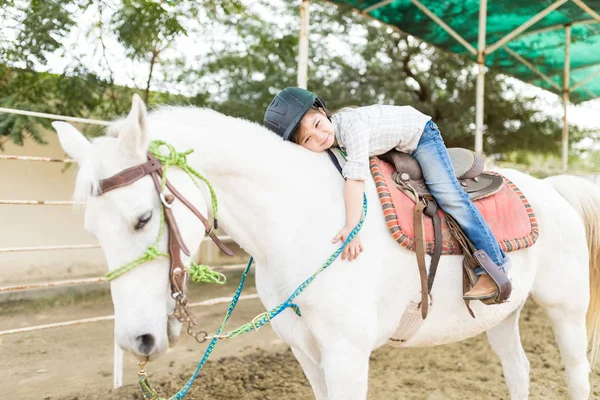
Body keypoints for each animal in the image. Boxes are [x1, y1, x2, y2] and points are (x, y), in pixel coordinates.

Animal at [54, 94, 600, 400]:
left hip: (566, 311)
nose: (138, 340)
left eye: (143, 218)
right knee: (519, 371)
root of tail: (555, 190)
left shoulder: (346, 355)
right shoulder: (307, 353)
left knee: (576, 375)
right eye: (91, 228)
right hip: (502, 314)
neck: (301, 222)